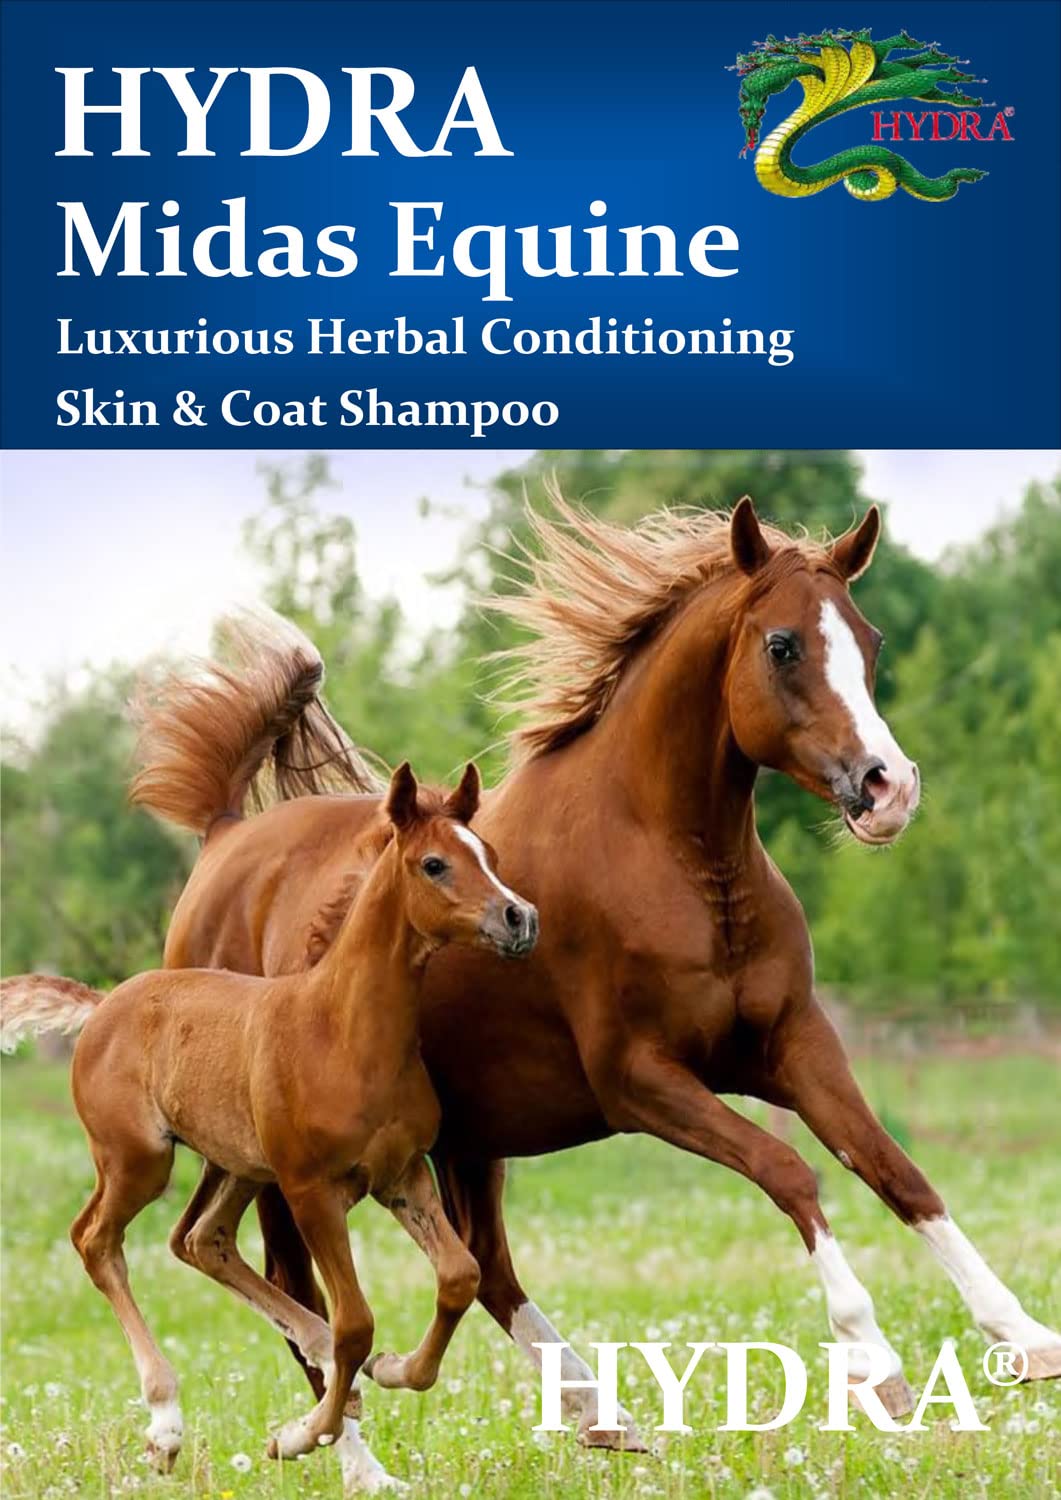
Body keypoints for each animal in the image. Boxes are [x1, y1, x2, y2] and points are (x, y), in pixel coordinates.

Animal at [0, 762, 538, 1491]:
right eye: (434, 864)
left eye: (491, 856)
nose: (520, 918)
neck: (342, 1031)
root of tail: (104, 1003)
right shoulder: (312, 1189)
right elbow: (357, 1322)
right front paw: (298, 1436)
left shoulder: (401, 1174)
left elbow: (458, 1277)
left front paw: (394, 1369)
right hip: (140, 1160)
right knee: (96, 1240)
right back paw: (166, 1424)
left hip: (240, 1166)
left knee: (202, 1240)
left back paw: (324, 1358)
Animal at [126, 496, 1059, 1462]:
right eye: (781, 645)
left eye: (868, 641)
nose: (887, 789)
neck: (674, 862)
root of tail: (225, 838)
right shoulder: (639, 1080)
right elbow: (789, 1171)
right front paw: (875, 1364)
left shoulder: (792, 1046)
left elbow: (893, 1170)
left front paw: (1024, 1338)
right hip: (288, 1156)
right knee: (293, 1282)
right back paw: (350, 1456)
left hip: (468, 1137)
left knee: (484, 1269)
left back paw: (594, 1410)